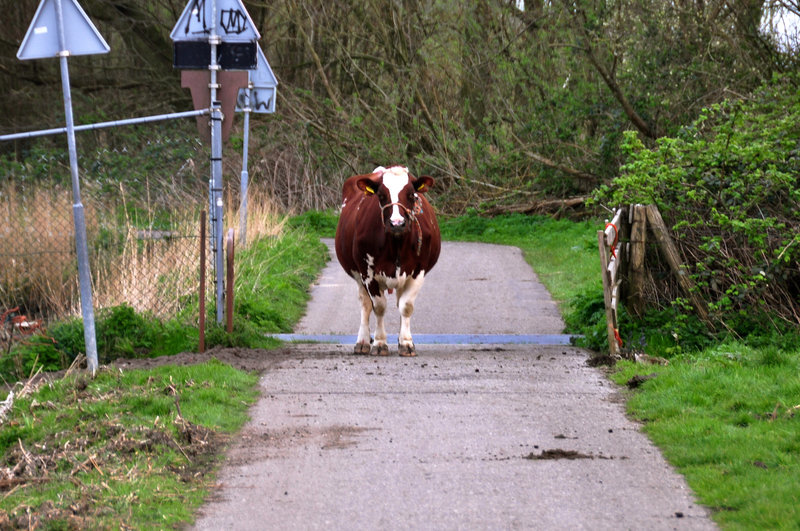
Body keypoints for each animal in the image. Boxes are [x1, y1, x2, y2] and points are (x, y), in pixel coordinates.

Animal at [334, 166, 440, 358]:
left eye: (412, 194)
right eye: (381, 195)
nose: (397, 223)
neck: (396, 244)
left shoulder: (418, 271)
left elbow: (406, 306)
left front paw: (406, 343)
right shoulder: (368, 274)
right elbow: (379, 307)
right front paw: (379, 343)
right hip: (358, 276)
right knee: (365, 304)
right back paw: (363, 341)